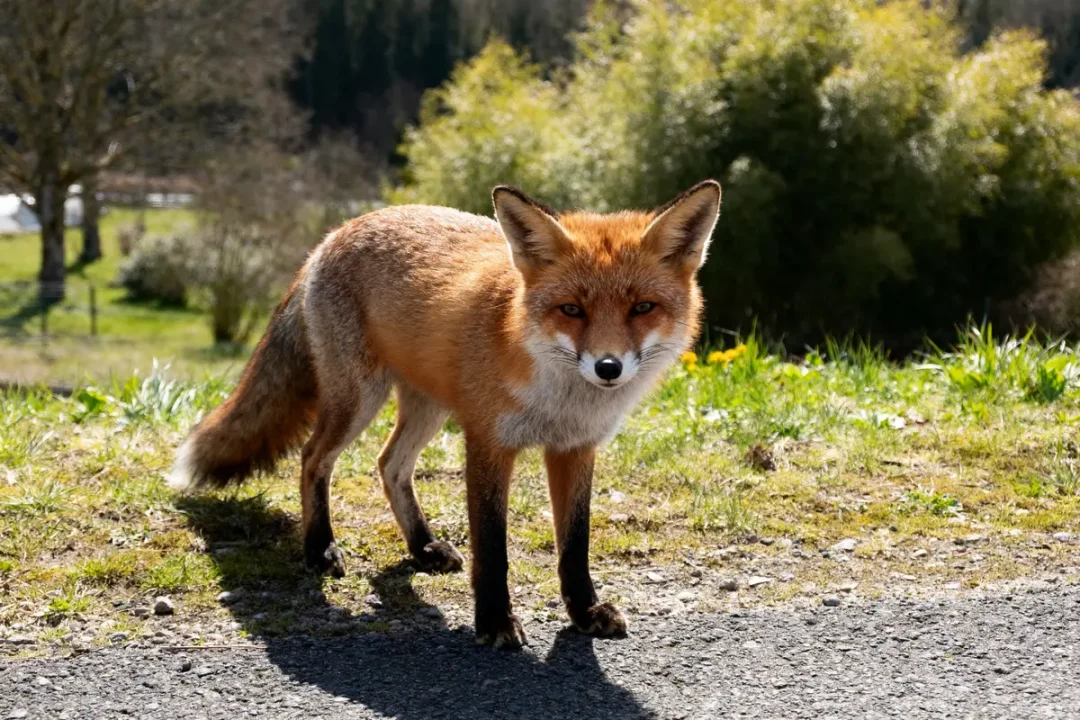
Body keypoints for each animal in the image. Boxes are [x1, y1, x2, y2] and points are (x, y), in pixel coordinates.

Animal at [169, 180, 721, 648]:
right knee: (312, 459)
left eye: (642, 308)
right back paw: (320, 547)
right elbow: (493, 551)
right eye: (571, 310)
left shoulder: (574, 448)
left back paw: (422, 546)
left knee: (389, 464)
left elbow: (574, 545)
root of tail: (338, 232)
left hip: (428, 408)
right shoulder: (487, 442)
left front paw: (584, 612)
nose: (608, 368)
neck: (558, 399)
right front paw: (495, 622)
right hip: (359, 401)